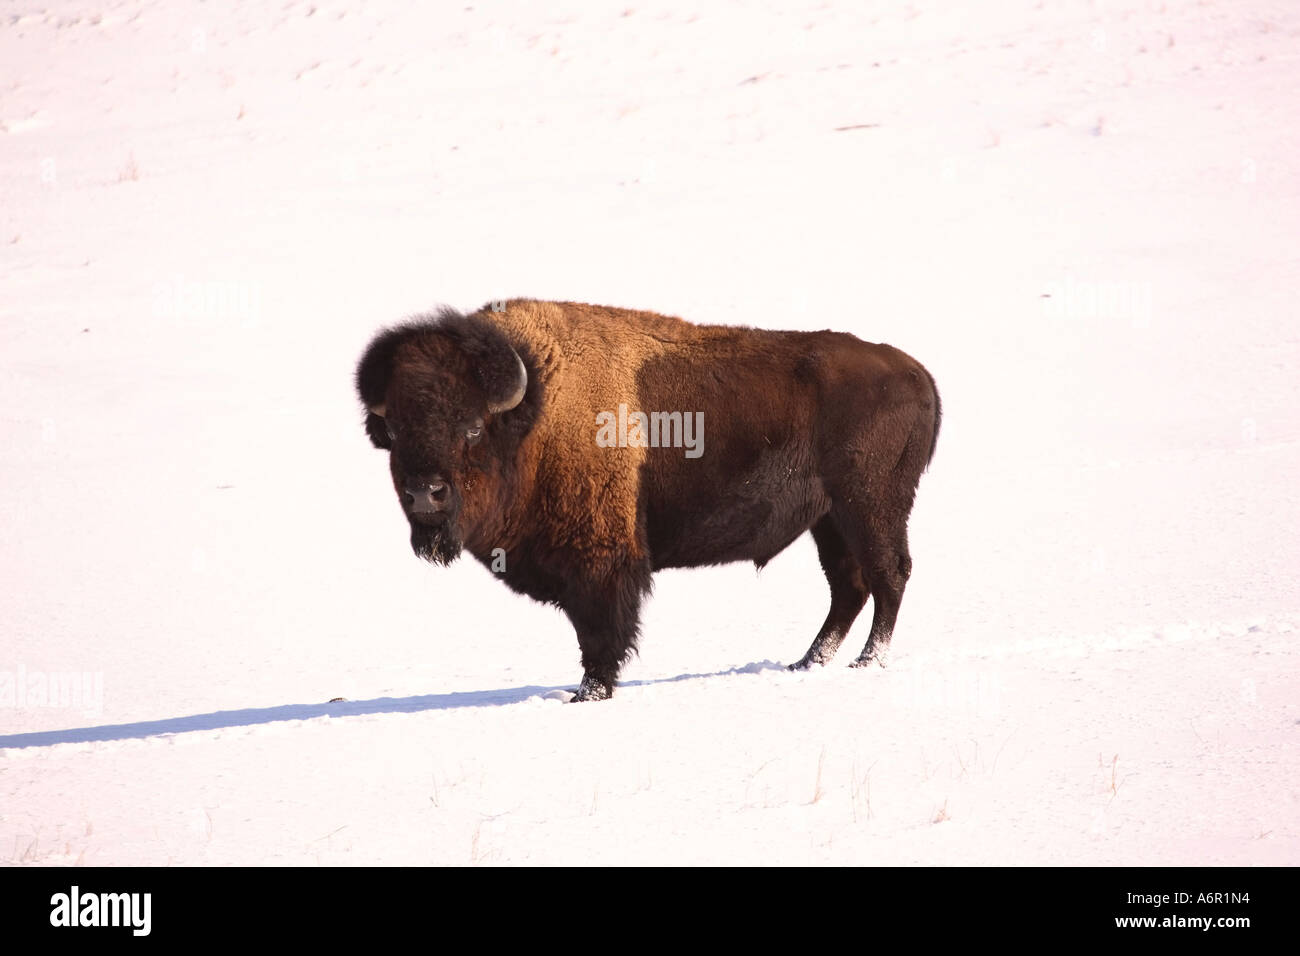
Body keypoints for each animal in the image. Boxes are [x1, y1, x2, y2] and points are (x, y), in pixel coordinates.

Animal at [356, 299, 940, 701]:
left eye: (473, 427)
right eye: (396, 430)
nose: (425, 493)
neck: (535, 412)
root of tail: (917, 374)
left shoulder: (600, 563)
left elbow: (600, 633)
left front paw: (588, 694)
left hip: (870, 506)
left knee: (888, 574)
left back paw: (867, 663)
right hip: (830, 520)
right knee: (850, 586)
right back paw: (806, 664)